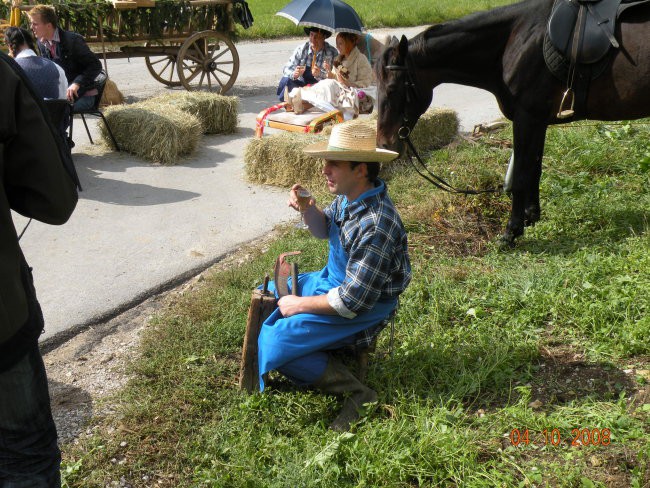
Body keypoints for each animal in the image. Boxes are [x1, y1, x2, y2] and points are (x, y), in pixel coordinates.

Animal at [374, 0, 648, 244]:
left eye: (392, 89)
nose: (385, 144)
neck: (515, 41)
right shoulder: (537, 120)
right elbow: (534, 169)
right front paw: (531, 216)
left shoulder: (525, 118)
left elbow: (520, 176)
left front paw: (511, 232)